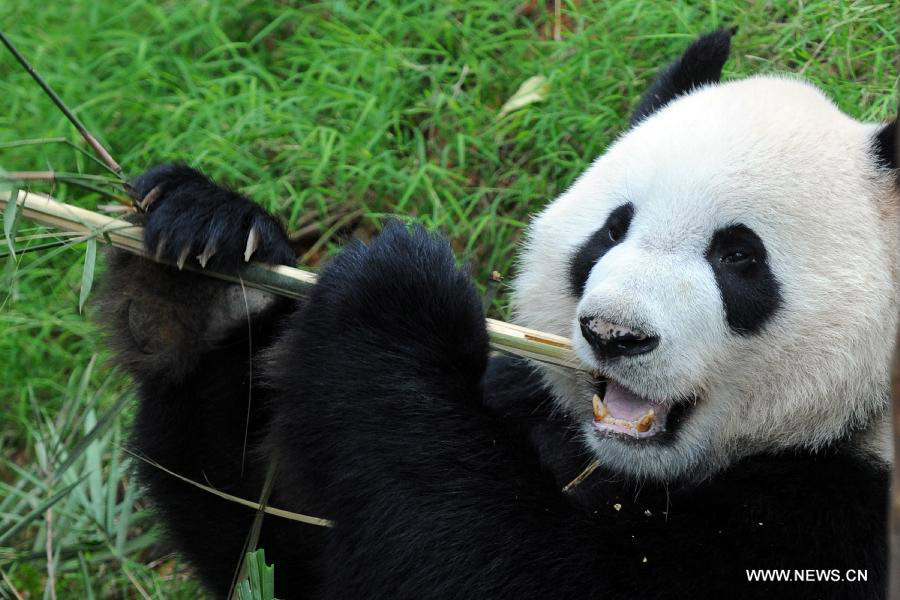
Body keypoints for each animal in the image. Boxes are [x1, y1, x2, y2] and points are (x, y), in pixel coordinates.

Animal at [98, 29, 892, 600]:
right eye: (612, 231)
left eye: (738, 258)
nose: (613, 334)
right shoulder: (529, 404)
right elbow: (282, 554)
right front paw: (200, 263)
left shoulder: (839, 516)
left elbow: (500, 568)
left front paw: (395, 294)